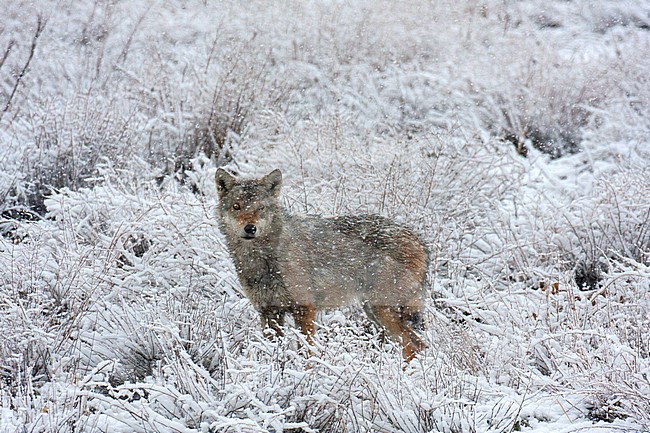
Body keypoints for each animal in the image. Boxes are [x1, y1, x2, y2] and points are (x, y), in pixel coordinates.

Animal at [215, 168, 429, 361]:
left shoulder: (304, 309)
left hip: (381, 310)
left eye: (261, 208)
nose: (250, 228)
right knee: (419, 344)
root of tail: (418, 239)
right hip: (373, 311)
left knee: (412, 347)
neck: (264, 257)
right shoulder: (269, 312)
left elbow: (306, 352)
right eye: (236, 206)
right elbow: (273, 352)